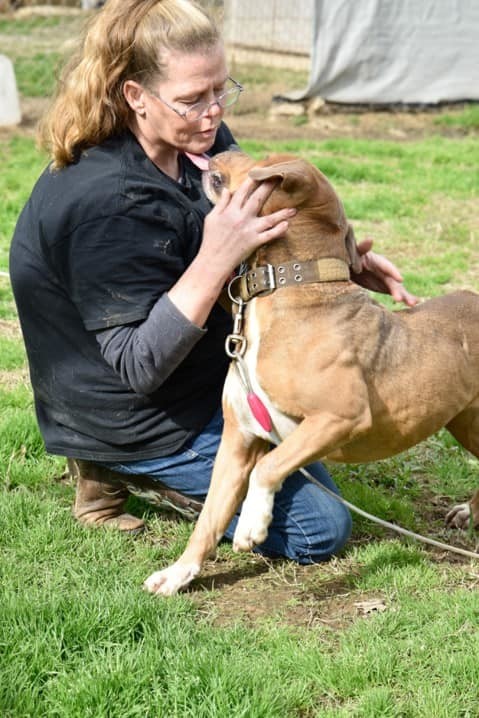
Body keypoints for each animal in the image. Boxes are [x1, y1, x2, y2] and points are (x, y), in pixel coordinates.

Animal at [144, 150, 479, 596]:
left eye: (261, 159)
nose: (220, 148)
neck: (287, 289)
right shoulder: (237, 440)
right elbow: (209, 518)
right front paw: (180, 573)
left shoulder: (340, 417)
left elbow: (269, 467)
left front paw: (252, 524)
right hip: (466, 422)